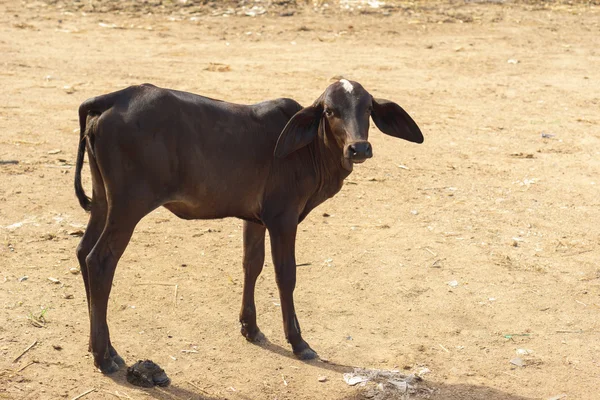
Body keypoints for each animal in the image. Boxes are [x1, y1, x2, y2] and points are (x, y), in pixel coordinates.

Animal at [75, 79, 422, 374]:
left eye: (368, 109)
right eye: (329, 111)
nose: (358, 148)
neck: (310, 150)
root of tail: (116, 97)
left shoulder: (254, 218)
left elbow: (251, 264)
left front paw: (250, 327)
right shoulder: (282, 217)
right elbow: (286, 274)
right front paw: (298, 342)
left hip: (103, 200)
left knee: (82, 252)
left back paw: (102, 347)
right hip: (129, 205)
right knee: (100, 261)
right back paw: (104, 357)